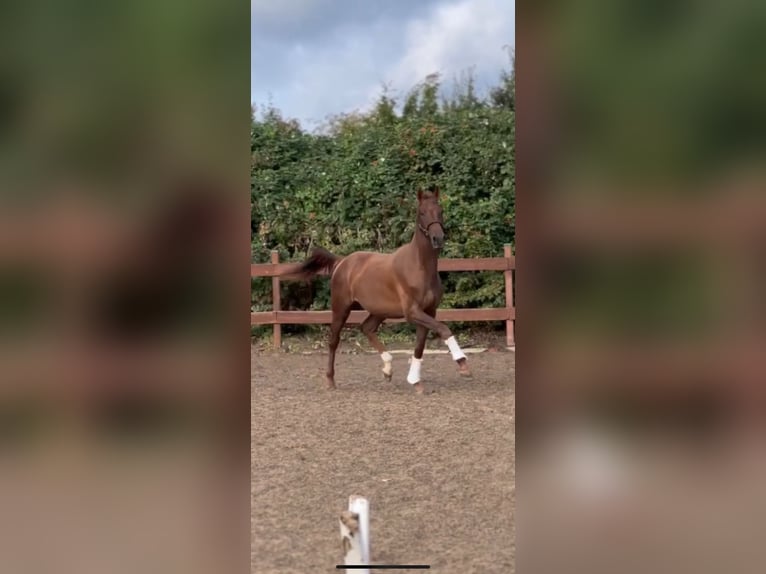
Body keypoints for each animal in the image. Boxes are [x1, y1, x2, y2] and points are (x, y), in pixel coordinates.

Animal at [284, 189, 474, 396]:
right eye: (422, 212)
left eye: (440, 211)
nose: (437, 238)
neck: (419, 267)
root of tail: (342, 261)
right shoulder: (412, 312)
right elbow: (443, 329)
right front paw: (463, 364)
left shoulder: (428, 311)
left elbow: (419, 347)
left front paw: (415, 381)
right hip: (341, 308)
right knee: (334, 340)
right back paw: (330, 380)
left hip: (379, 310)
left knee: (366, 328)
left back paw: (388, 369)